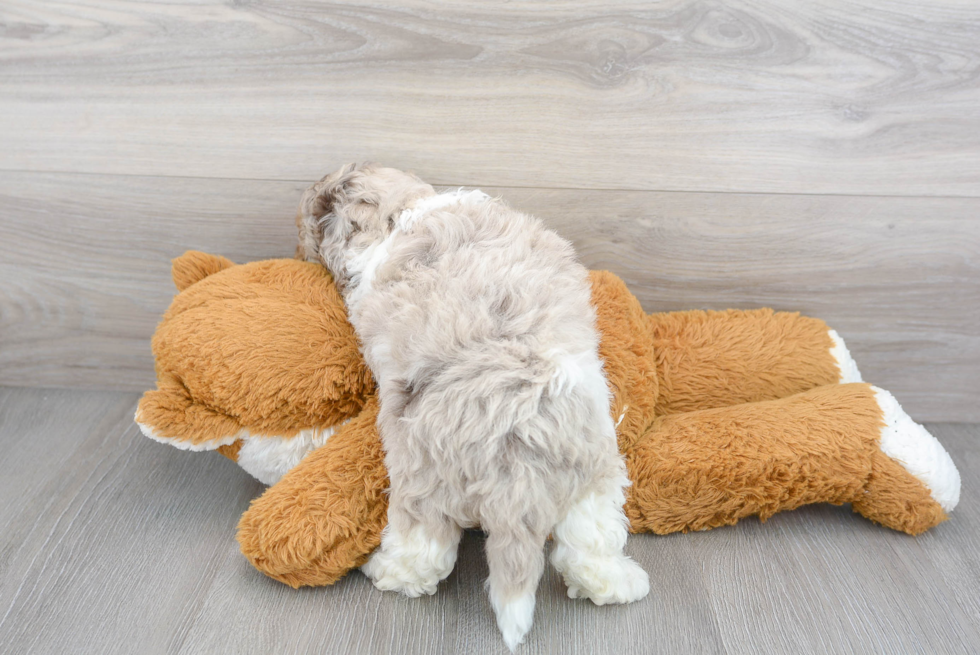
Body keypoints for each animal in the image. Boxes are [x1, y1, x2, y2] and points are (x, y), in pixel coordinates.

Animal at [298, 164, 652, 652]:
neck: (401, 212)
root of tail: (516, 467)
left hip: (423, 481)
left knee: (425, 549)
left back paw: (387, 573)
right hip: (594, 474)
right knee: (588, 546)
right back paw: (620, 583)